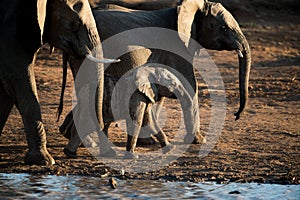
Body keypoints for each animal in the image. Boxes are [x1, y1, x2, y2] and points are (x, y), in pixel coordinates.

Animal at [0, 0, 116, 166]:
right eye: (75, 25)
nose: (70, 153)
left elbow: (5, 91)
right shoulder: (11, 30)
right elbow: (17, 79)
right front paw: (43, 160)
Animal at [62, 65, 198, 159]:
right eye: (173, 84)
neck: (149, 70)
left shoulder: (145, 95)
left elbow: (148, 121)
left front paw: (171, 148)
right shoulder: (137, 96)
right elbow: (137, 121)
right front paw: (133, 157)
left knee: (98, 126)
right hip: (89, 103)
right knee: (87, 125)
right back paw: (71, 154)